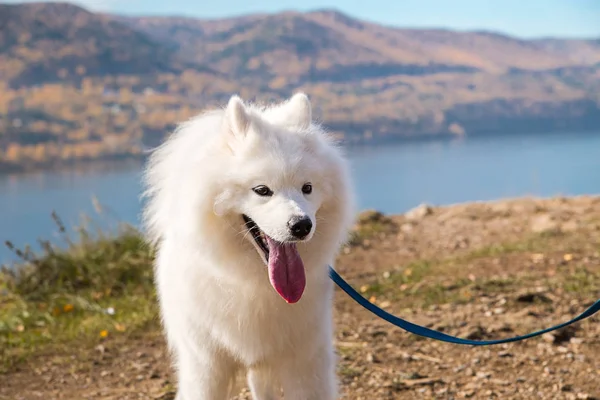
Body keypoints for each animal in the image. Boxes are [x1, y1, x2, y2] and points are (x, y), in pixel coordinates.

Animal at [141, 94, 356, 400]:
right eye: (262, 190)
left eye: (307, 188)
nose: (302, 225)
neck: (254, 283)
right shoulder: (205, 365)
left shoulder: (306, 360)